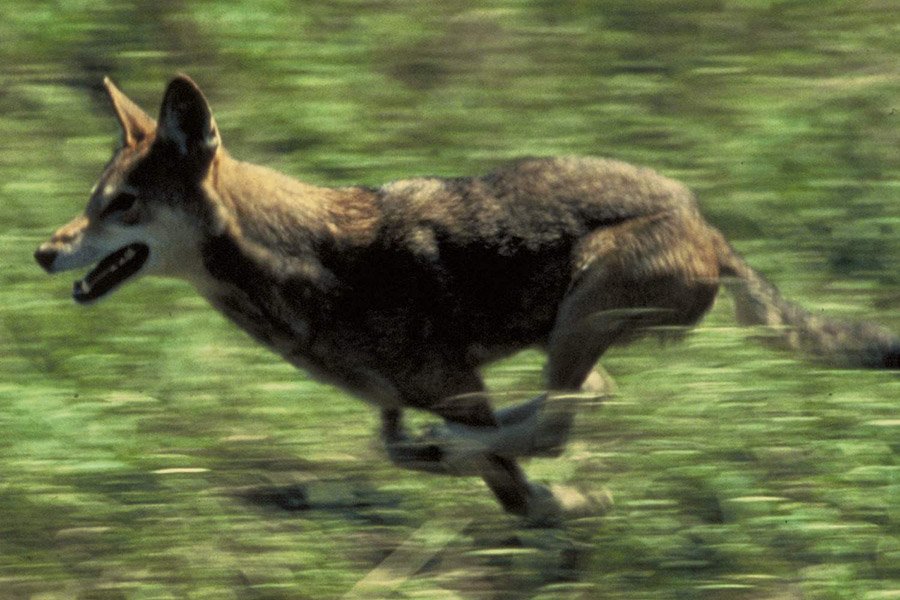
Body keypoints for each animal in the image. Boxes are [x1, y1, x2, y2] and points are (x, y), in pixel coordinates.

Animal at [35, 76, 899, 522]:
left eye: (122, 206)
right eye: (93, 200)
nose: (43, 251)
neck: (303, 263)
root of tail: (709, 225)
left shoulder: (453, 385)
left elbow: (514, 483)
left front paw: (556, 500)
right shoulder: (412, 394)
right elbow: (413, 448)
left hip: (585, 300)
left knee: (556, 419)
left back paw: (472, 447)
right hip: (569, 332)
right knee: (580, 399)